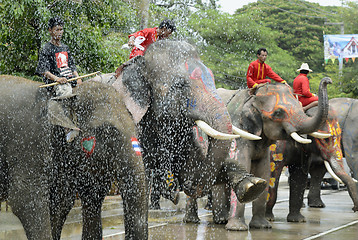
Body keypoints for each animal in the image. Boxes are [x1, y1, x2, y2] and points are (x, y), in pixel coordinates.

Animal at [213, 79, 332, 231]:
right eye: (278, 113)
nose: (328, 80)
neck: (253, 97)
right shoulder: (238, 131)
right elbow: (245, 164)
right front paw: (237, 229)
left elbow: (266, 171)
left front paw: (263, 226)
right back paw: (221, 220)